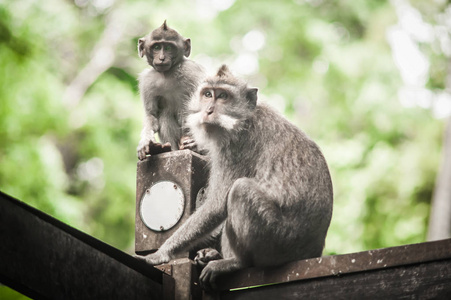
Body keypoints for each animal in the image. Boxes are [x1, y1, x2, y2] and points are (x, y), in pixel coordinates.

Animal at [136, 65, 334, 288]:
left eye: (223, 96)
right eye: (207, 94)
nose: (208, 110)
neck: (243, 118)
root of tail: (313, 251)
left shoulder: (236, 146)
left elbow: (217, 205)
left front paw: (161, 254)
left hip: (280, 241)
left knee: (240, 190)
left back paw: (237, 262)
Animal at [137, 20, 206, 159]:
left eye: (169, 48)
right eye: (156, 47)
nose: (162, 58)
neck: (167, 74)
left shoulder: (193, 71)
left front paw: (198, 144)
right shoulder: (147, 81)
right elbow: (152, 114)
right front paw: (145, 141)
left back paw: (199, 149)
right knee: (164, 114)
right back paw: (164, 149)